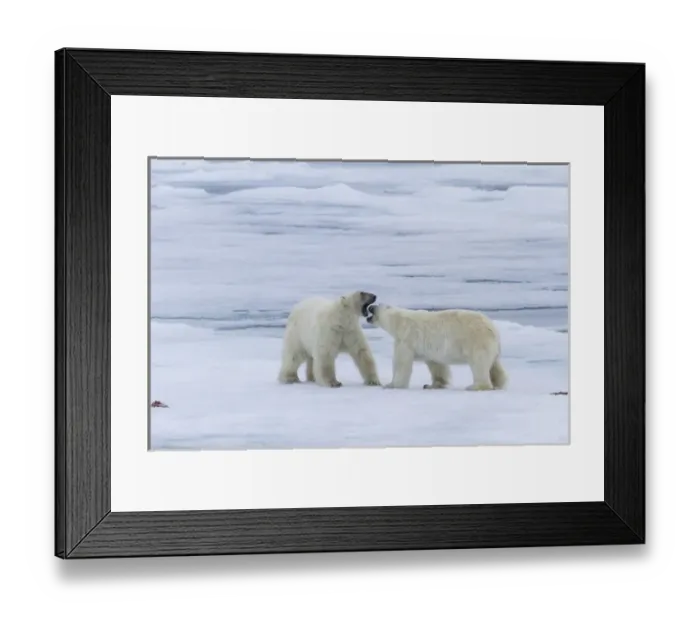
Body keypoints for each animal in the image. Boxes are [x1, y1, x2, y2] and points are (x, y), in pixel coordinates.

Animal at [365, 303, 507, 391]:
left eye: (377, 306)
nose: (370, 306)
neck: (399, 320)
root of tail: (492, 328)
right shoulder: (430, 348)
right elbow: (436, 364)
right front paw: (432, 385)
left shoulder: (407, 337)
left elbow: (401, 362)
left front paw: (392, 384)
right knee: (494, 365)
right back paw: (499, 383)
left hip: (476, 341)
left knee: (479, 364)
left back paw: (474, 386)